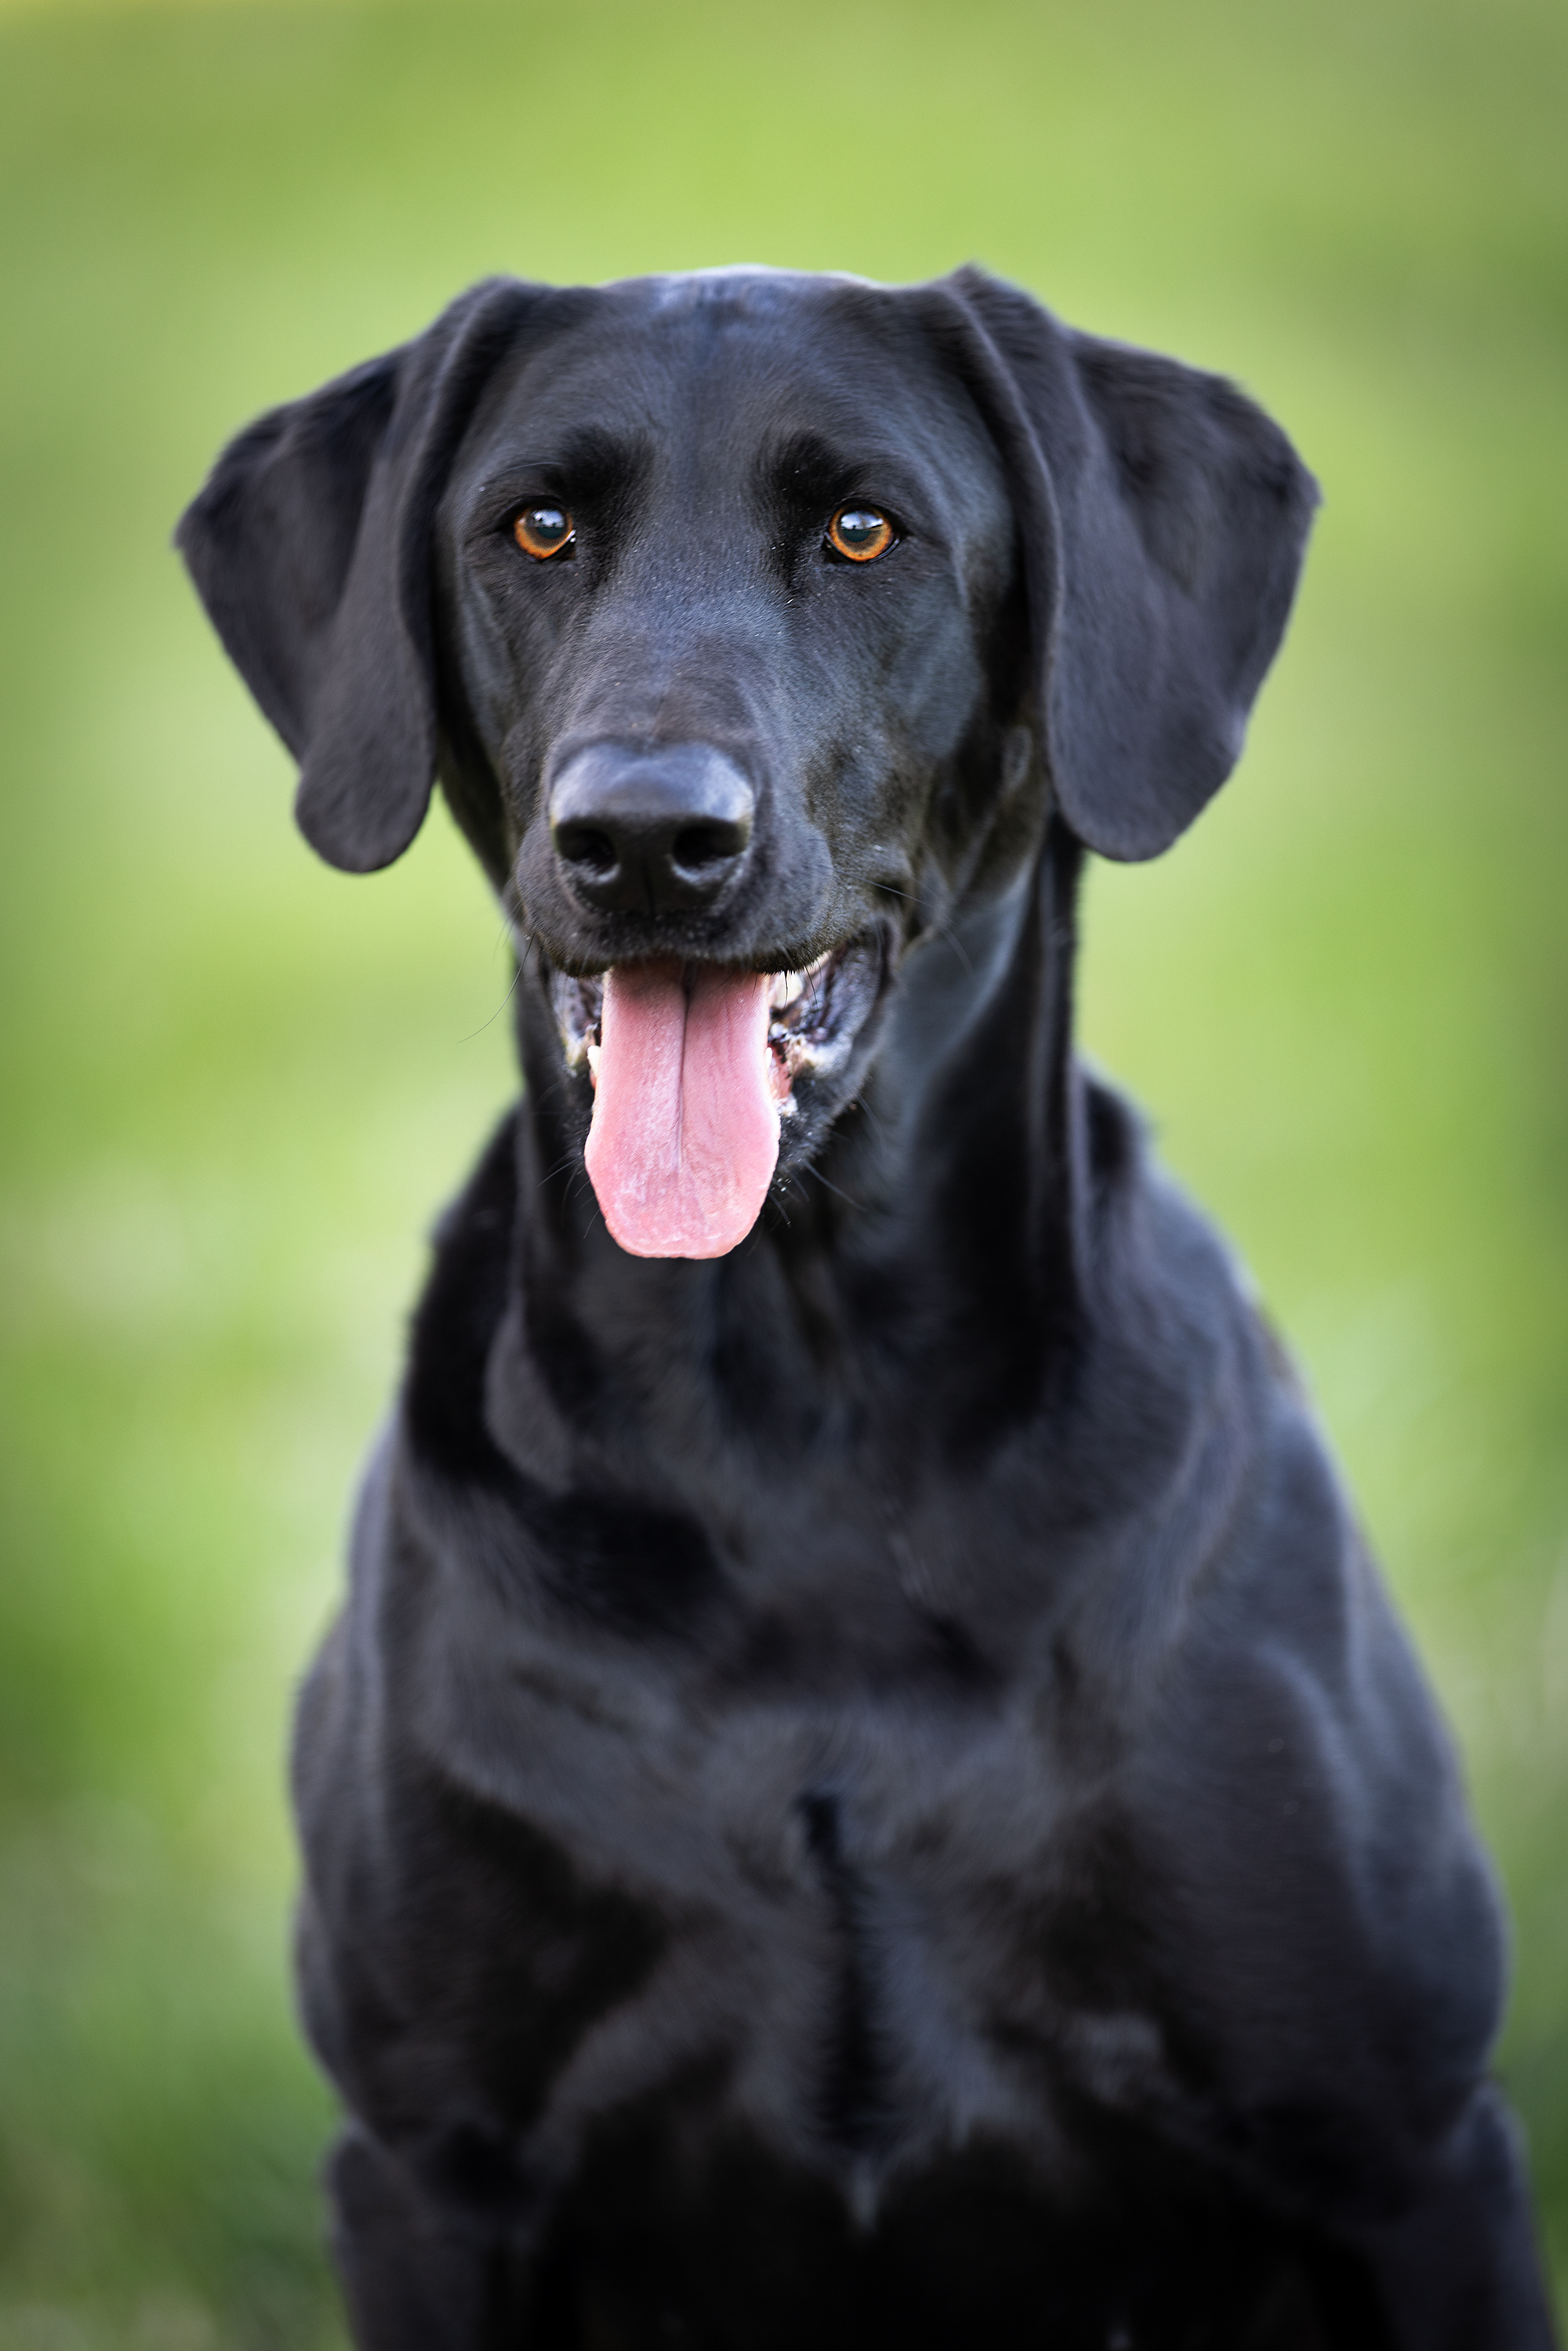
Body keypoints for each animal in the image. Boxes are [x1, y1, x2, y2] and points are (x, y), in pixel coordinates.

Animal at [178, 266, 1556, 2350]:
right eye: (536, 526)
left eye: (859, 530)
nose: (641, 837)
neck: (794, 1412)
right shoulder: (428, 2170)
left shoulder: (1407, 2150)